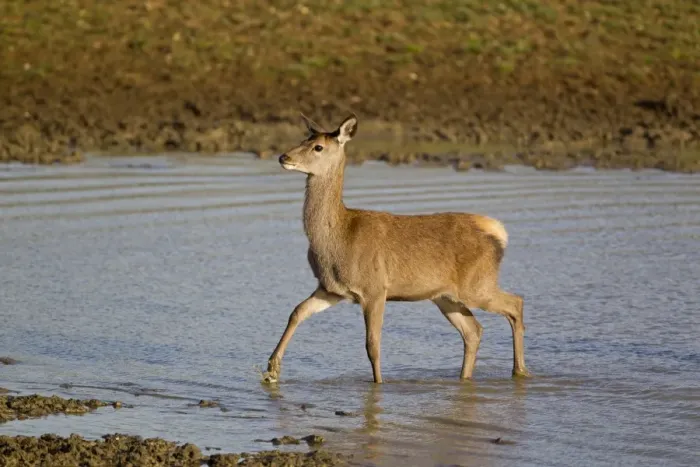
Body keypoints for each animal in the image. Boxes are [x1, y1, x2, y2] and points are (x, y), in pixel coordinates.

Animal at [261, 114, 530, 384]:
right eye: (303, 139)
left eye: (318, 147)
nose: (284, 157)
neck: (338, 238)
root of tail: (498, 232)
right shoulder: (331, 289)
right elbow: (297, 311)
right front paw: (272, 369)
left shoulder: (375, 289)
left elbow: (372, 345)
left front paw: (378, 385)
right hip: (445, 296)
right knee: (473, 330)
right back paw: (467, 378)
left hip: (476, 285)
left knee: (514, 303)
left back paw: (519, 371)